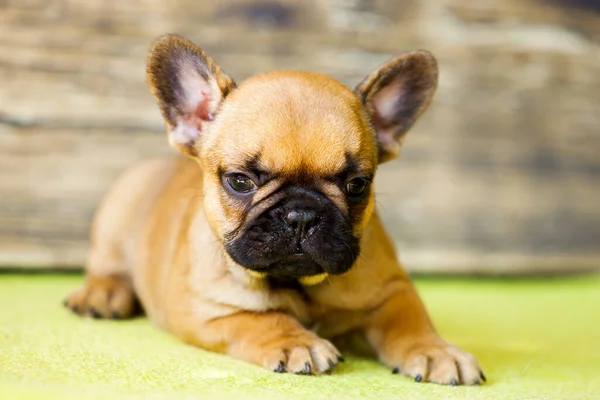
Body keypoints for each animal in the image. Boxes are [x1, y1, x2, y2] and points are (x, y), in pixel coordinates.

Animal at [65, 34, 486, 384]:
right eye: (239, 181)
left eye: (357, 185)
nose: (301, 215)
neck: (298, 285)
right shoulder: (203, 308)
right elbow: (260, 317)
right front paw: (296, 340)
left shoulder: (392, 288)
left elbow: (410, 319)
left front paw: (435, 351)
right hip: (116, 217)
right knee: (106, 266)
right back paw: (102, 295)